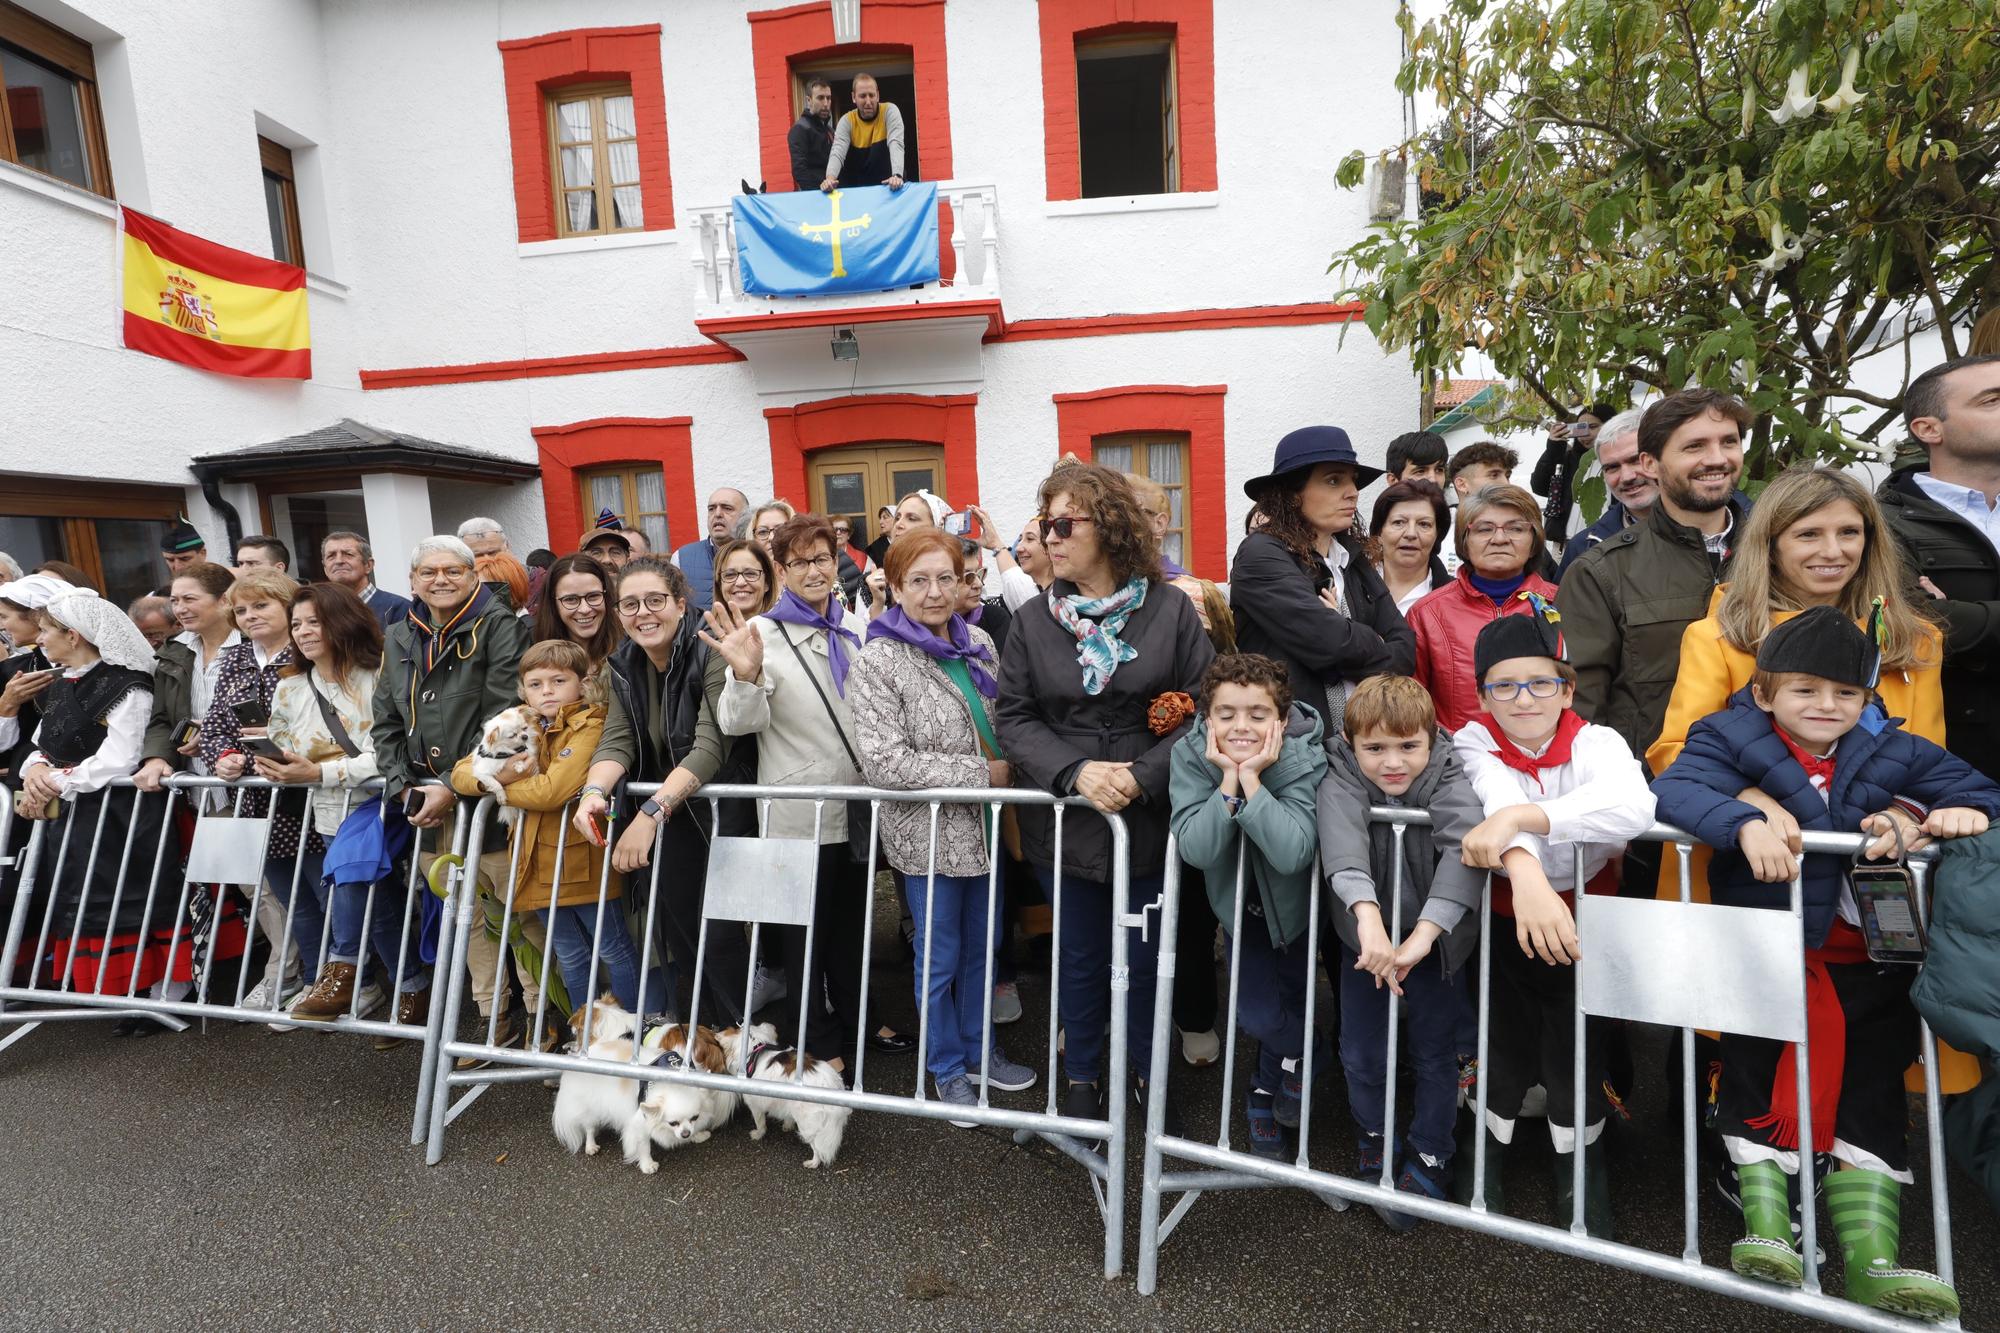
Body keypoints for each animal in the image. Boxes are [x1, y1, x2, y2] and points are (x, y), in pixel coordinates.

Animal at [724, 1016, 848, 1160]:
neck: (755, 1048)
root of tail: (828, 1082)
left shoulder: (755, 1104)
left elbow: (760, 1122)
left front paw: (757, 1134)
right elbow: (787, 1117)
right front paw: (787, 1126)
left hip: (807, 1123)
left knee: (817, 1148)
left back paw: (812, 1162)